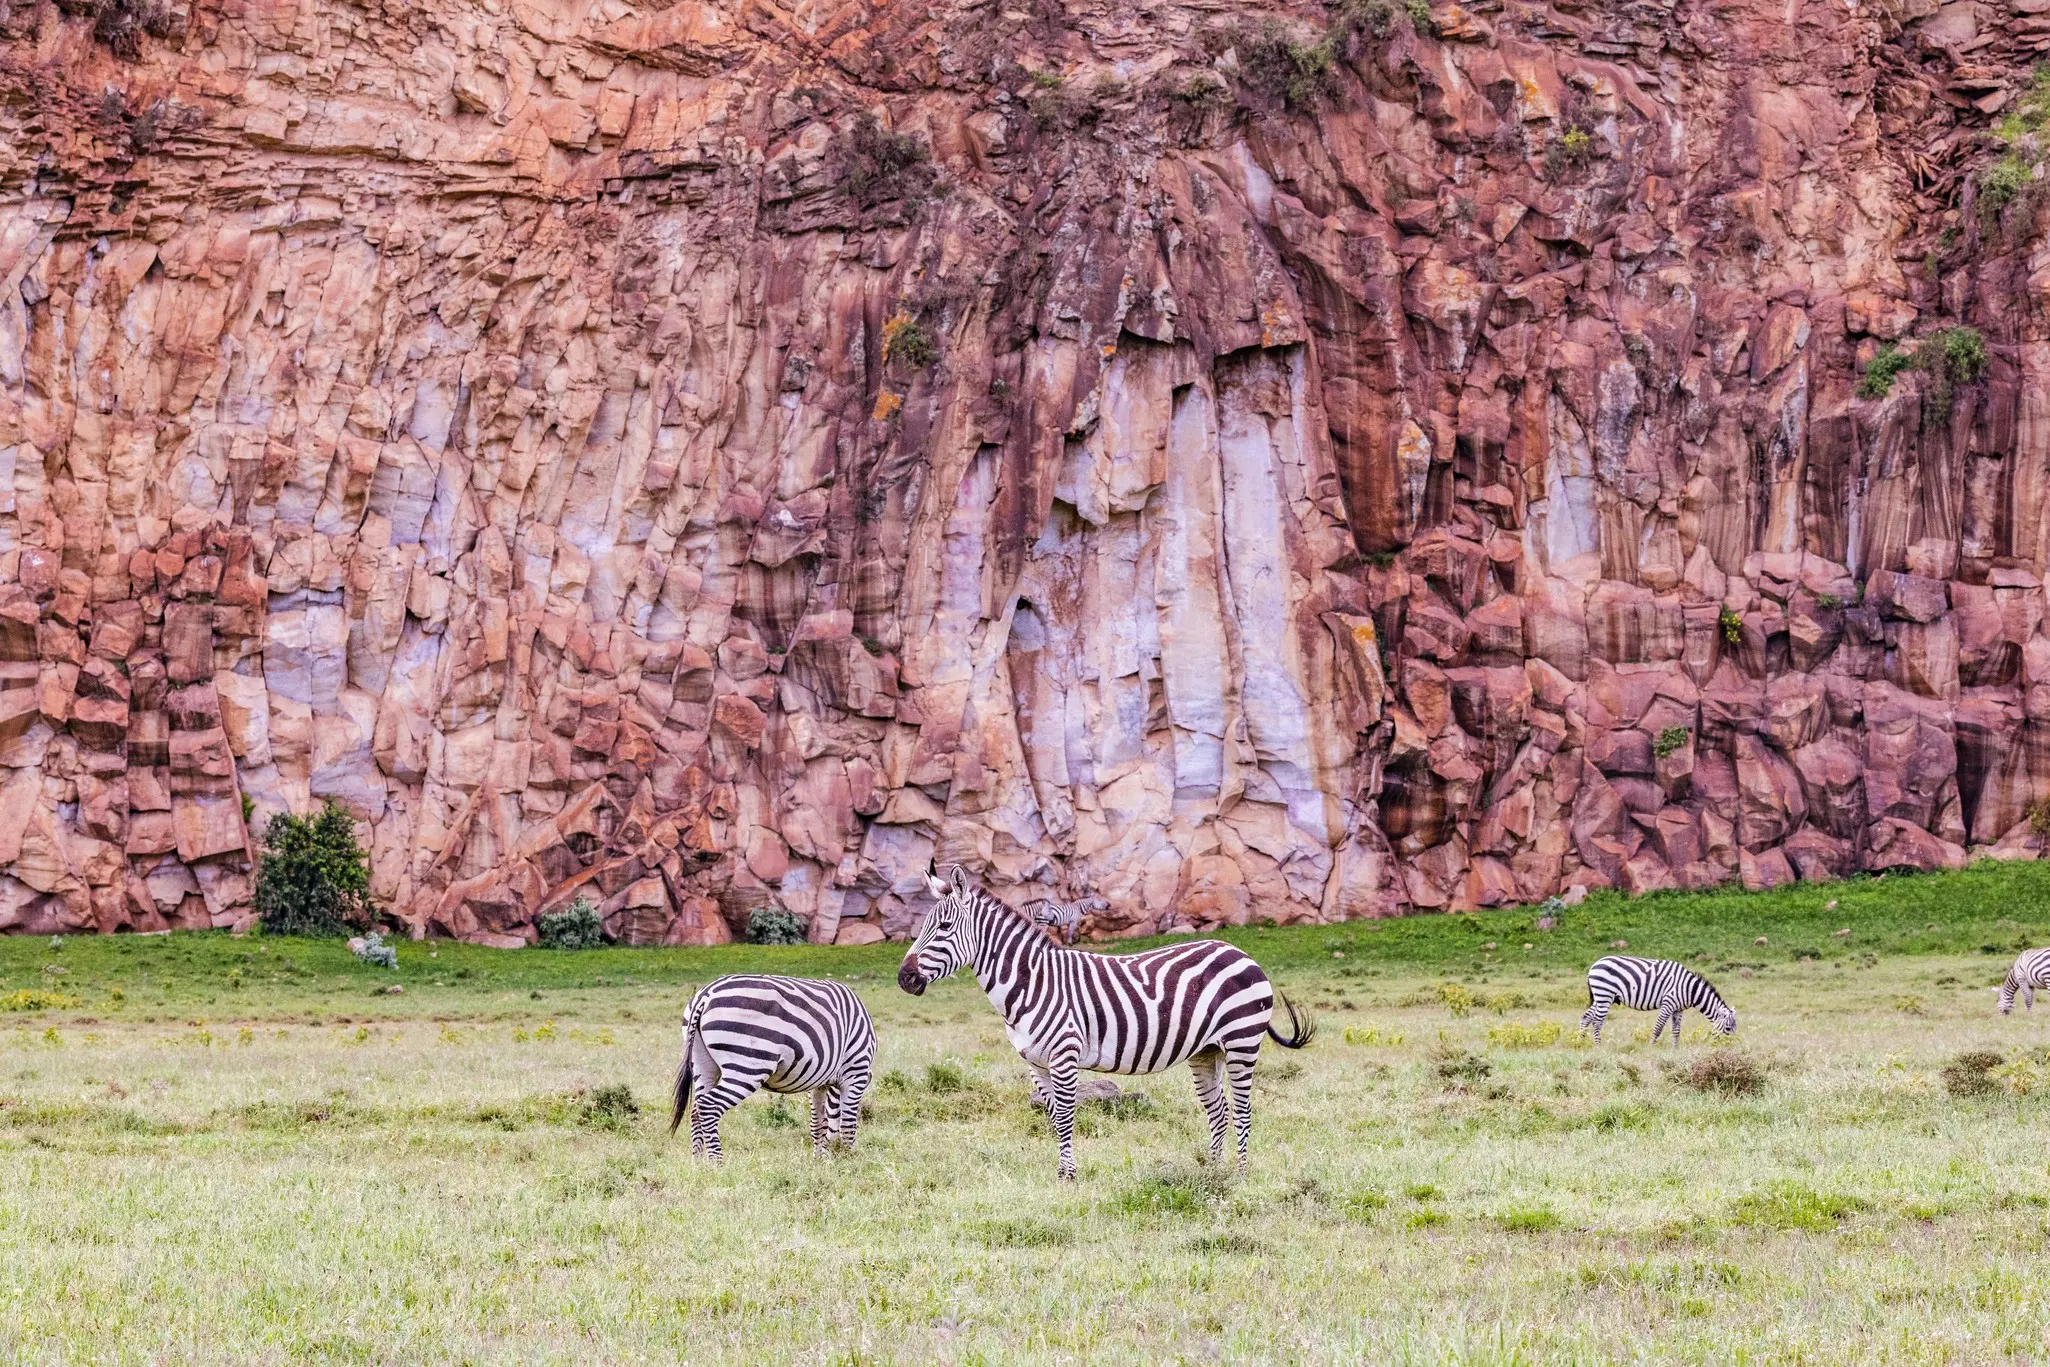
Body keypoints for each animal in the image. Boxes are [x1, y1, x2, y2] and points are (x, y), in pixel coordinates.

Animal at [668, 974, 876, 1160]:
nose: (835, 1154)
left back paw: (698, 1164)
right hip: (748, 1065)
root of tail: (704, 996)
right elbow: (848, 1126)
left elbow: (818, 1124)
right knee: (708, 1106)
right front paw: (848, 1160)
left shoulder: (819, 1083)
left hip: (701, 1063)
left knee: (696, 1109)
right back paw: (717, 1165)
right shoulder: (856, 1072)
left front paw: (820, 1161)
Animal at [899, 863, 1314, 1180]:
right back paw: (1213, 1171)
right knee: (1219, 1111)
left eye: (945, 927)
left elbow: (1066, 1117)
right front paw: (1062, 1172)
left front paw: (1070, 1176)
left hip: (1242, 1042)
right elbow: (1052, 1117)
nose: (904, 978)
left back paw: (1240, 1176)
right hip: (1206, 1051)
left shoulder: (1064, 1056)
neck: (1032, 982)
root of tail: (1239, 950)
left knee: (1242, 1111)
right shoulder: (1034, 1062)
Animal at [1580, 955, 1737, 1045]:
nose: (1730, 1048)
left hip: (1603, 997)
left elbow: (1676, 1030)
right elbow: (1658, 1028)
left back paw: (1580, 1041)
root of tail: (1593, 966)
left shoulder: (1678, 1009)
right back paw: (1598, 1046)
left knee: (1586, 1016)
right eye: (1728, 1028)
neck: (1689, 989)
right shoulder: (1668, 1003)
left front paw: (1675, 1050)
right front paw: (1651, 1047)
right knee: (1597, 1021)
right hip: (1604, 995)